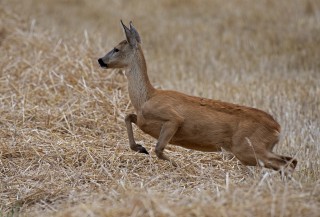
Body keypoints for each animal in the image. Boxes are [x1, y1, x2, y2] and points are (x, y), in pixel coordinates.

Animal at [97, 21, 298, 174]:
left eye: (116, 49)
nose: (100, 60)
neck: (146, 98)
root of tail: (277, 127)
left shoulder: (173, 118)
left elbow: (159, 149)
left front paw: (178, 165)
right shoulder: (143, 120)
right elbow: (128, 117)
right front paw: (140, 148)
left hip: (247, 148)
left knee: (285, 163)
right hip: (257, 148)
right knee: (291, 160)